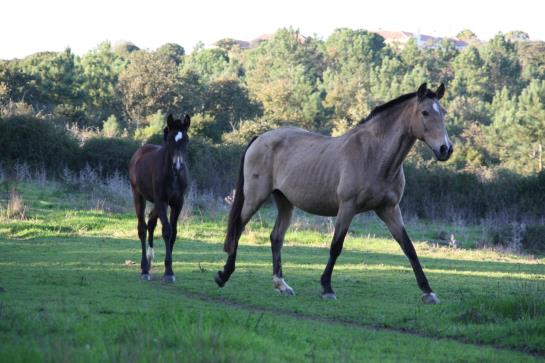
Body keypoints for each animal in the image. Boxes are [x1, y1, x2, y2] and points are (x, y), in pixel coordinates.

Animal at [129, 115, 190, 282]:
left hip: (156, 203)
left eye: (186, 140)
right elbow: (167, 231)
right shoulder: (162, 202)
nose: (177, 166)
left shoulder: (177, 203)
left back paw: (149, 262)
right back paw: (144, 268)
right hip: (139, 196)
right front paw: (168, 272)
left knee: (151, 223)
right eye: (169, 140)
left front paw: (169, 269)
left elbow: (173, 233)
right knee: (142, 228)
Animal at [215, 83, 452, 304]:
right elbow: (336, 246)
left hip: (285, 202)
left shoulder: (389, 209)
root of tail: (259, 138)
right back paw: (224, 275)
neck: (374, 155)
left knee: (276, 237)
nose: (446, 149)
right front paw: (327, 288)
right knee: (238, 227)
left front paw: (428, 291)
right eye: (425, 112)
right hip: (255, 197)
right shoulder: (347, 207)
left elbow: (408, 247)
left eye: (443, 112)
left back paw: (281, 284)